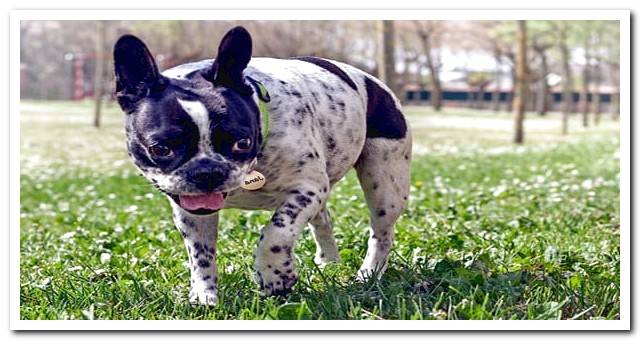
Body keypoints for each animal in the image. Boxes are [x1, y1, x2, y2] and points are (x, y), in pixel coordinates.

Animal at [112, 25, 412, 304]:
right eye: (160, 149)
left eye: (242, 143)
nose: (207, 171)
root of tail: (375, 83)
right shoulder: (192, 212)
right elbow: (200, 252)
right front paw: (203, 295)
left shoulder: (306, 190)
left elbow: (275, 233)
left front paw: (275, 276)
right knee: (324, 220)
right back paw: (328, 262)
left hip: (384, 184)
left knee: (381, 232)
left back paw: (368, 273)